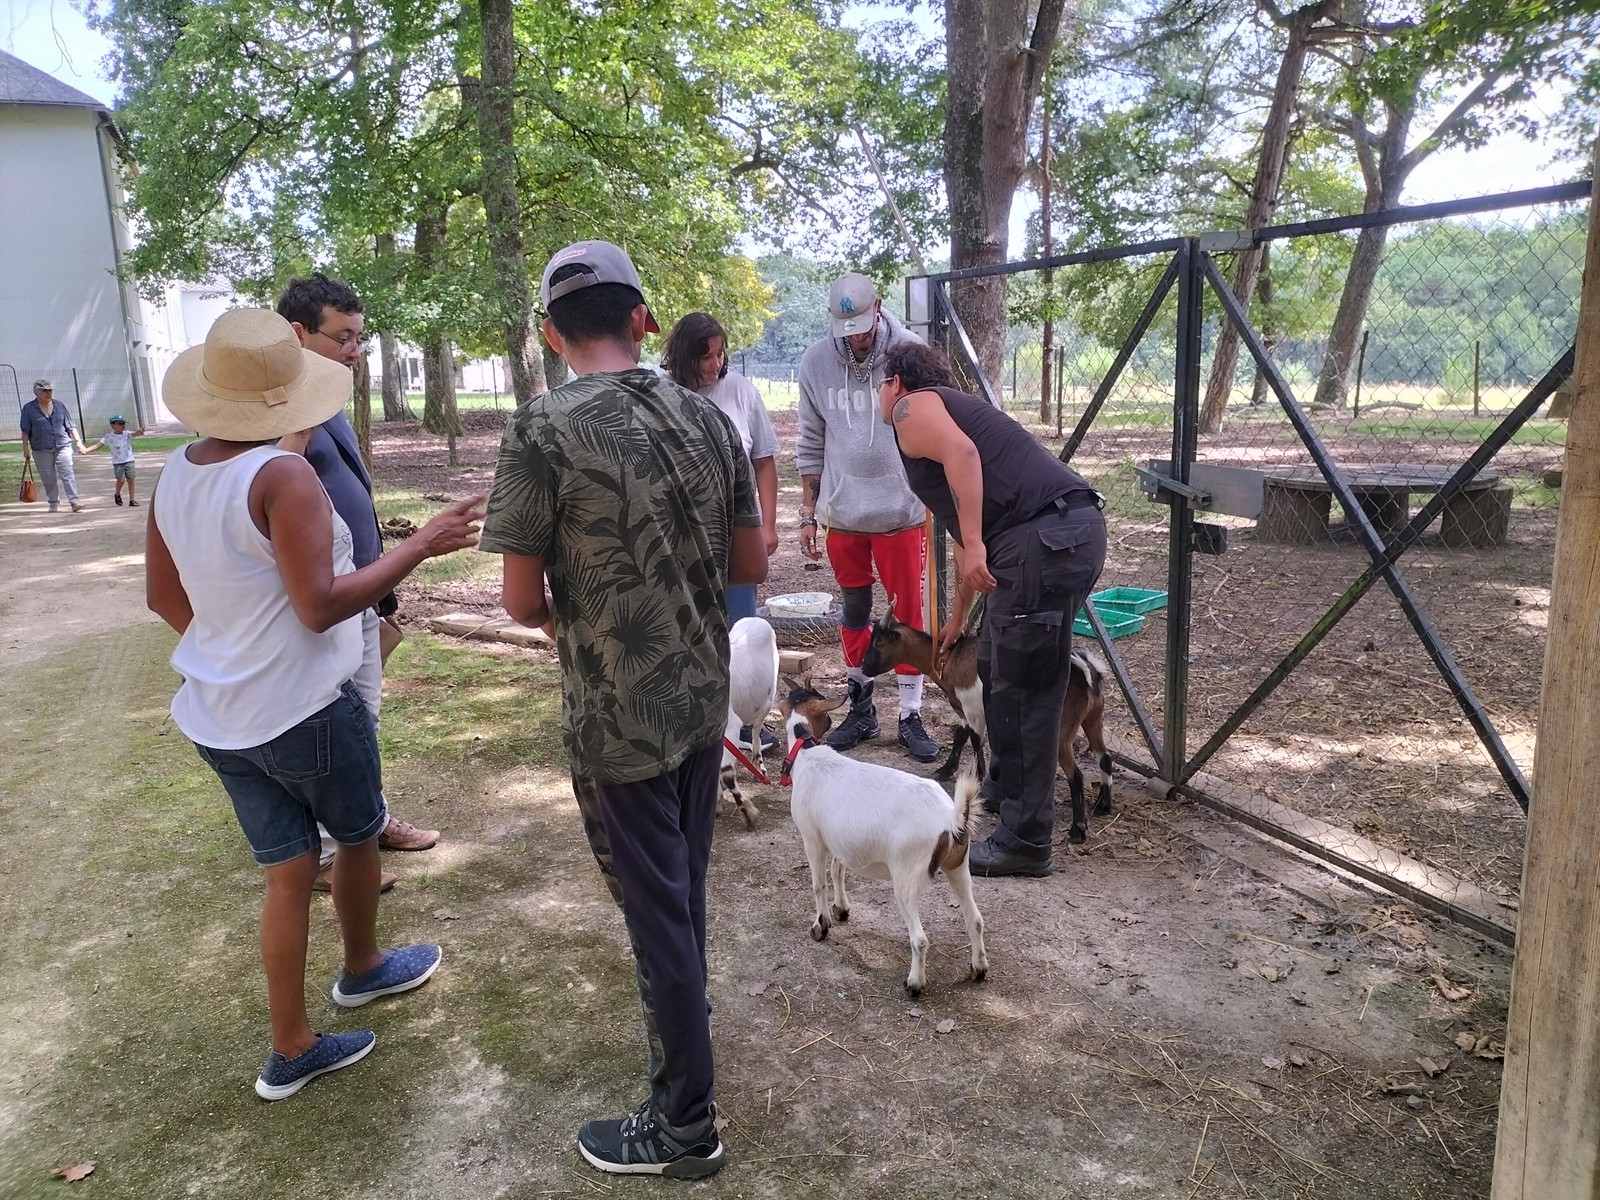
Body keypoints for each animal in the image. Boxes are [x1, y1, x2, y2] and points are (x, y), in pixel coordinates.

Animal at [720, 614, 780, 832]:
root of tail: (756, 618)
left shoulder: (729, 727)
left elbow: (726, 772)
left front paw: (748, 814)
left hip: (768, 699)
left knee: (756, 730)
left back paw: (759, 767)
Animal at [777, 681, 985, 998]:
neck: (807, 754)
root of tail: (951, 820)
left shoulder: (812, 838)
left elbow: (818, 883)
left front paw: (820, 926)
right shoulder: (839, 839)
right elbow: (838, 870)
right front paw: (842, 909)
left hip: (907, 875)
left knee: (920, 938)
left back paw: (914, 984)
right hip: (958, 866)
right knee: (975, 919)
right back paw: (979, 969)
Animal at [864, 620, 1113, 844]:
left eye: (879, 644)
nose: (865, 667)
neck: (948, 658)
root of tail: (1087, 674)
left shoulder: (973, 710)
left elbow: (975, 741)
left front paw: (978, 783)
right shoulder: (965, 710)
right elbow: (960, 735)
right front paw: (946, 769)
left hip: (1062, 729)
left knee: (1076, 775)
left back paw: (1077, 830)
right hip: (1093, 717)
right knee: (1105, 757)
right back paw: (1104, 804)